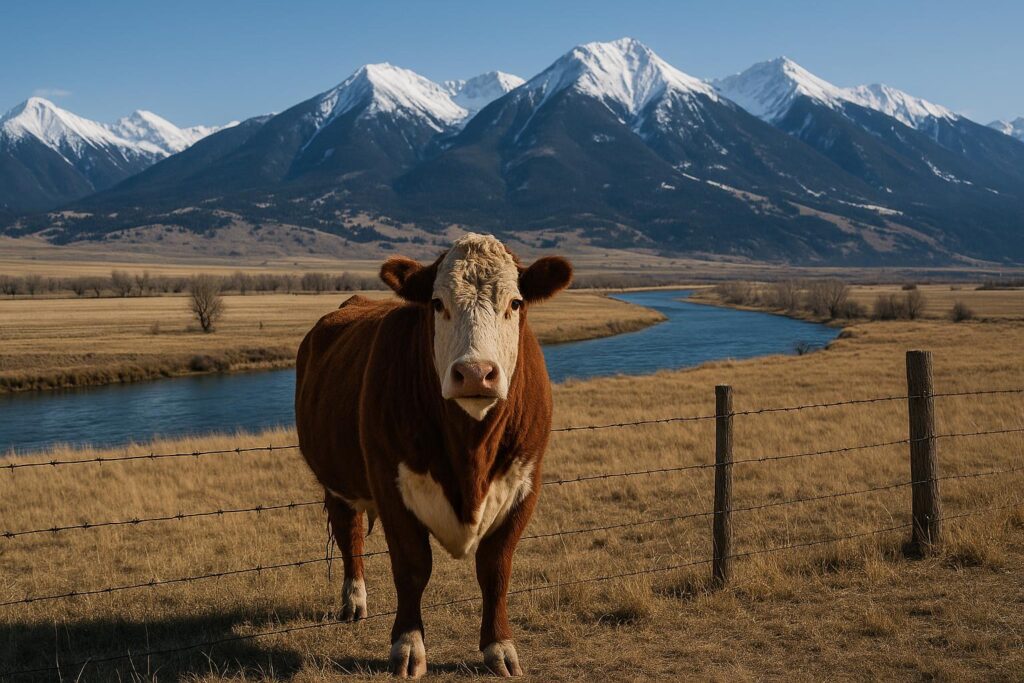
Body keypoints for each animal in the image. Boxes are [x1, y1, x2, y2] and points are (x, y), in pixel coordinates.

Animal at [295, 233, 572, 678]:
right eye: (437, 303)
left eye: (515, 303)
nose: (476, 373)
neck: (470, 451)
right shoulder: (390, 483)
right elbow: (412, 567)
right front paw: (408, 647)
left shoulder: (525, 485)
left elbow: (495, 568)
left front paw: (500, 647)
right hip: (336, 481)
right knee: (348, 533)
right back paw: (354, 601)